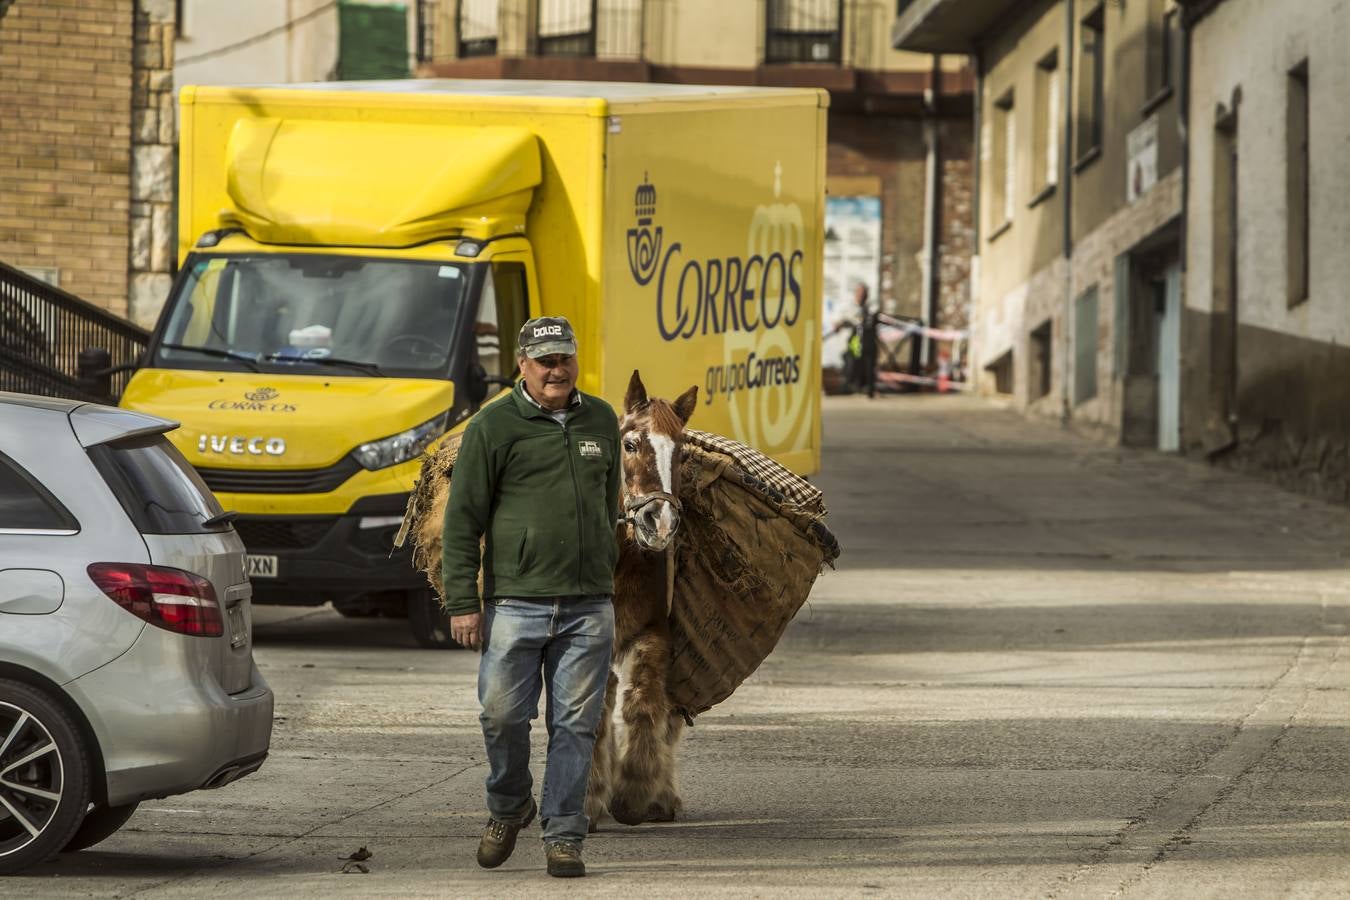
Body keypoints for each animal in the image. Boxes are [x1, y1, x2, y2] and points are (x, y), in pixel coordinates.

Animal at [588, 369, 702, 825]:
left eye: (681, 454)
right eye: (631, 444)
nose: (661, 522)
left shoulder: (653, 631)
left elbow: (644, 700)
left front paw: (636, 789)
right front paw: (589, 797)